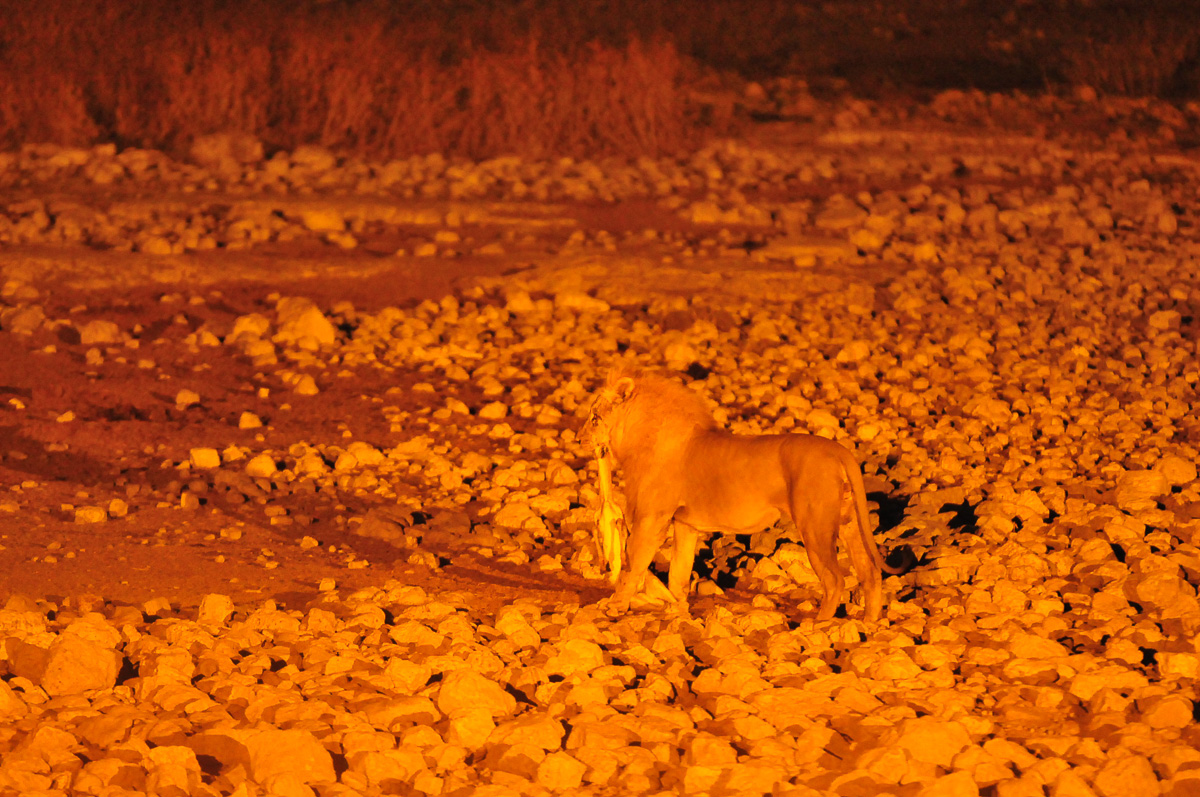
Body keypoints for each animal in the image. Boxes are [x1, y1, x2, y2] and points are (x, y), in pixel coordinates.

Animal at [581, 368, 913, 622]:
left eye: (595, 418)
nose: (579, 438)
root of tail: (839, 451)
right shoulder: (685, 524)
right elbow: (678, 572)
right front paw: (678, 610)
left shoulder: (651, 517)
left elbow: (633, 563)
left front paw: (614, 606)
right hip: (848, 521)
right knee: (870, 571)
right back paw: (870, 622)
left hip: (815, 526)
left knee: (835, 579)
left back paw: (819, 623)